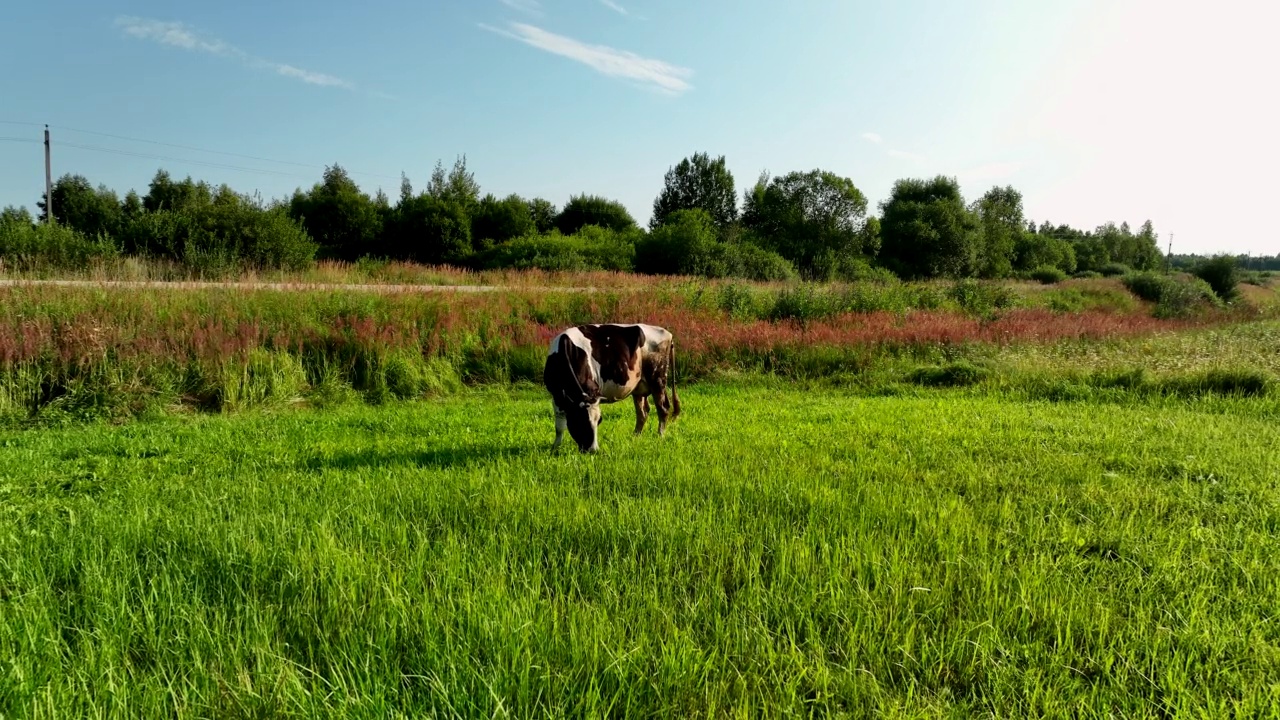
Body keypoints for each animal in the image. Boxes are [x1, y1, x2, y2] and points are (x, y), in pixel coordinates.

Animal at [540, 322, 680, 450]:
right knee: (643, 413)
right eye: (580, 420)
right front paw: (555, 447)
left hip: (658, 379)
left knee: (663, 409)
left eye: (599, 420)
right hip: (639, 387)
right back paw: (635, 437)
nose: (593, 450)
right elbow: (559, 425)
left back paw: (660, 436)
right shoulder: (557, 396)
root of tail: (667, 333)